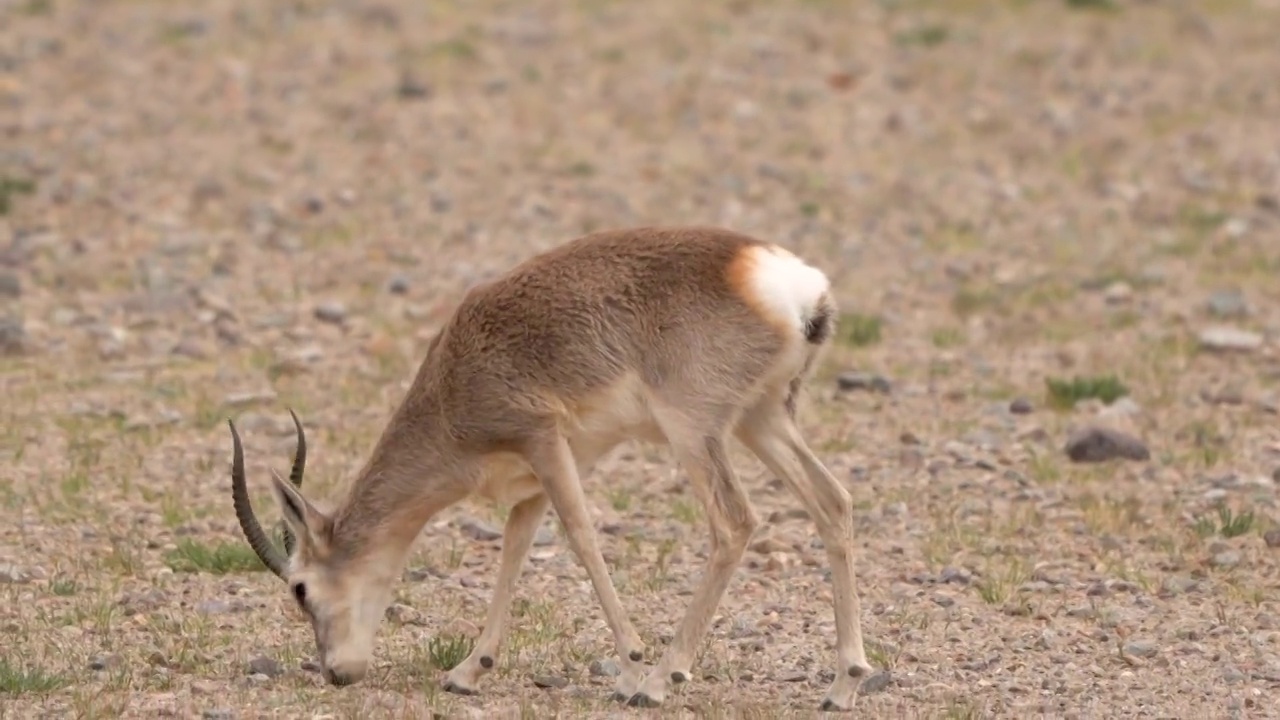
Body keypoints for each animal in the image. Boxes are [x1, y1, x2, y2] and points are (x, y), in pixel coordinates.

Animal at [225, 226, 875, 707]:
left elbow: (581, 537)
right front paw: (469, 670)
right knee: (833, 501)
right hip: (761, 420)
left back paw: (663, 680)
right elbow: (514, 547)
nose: (336, 673)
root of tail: (788, 282)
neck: (453, 384)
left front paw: (632, 667)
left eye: (300, 589)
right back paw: (843, 685)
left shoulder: (542, 439)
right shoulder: (541, 471)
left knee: (734, 523)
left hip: (694, 430)